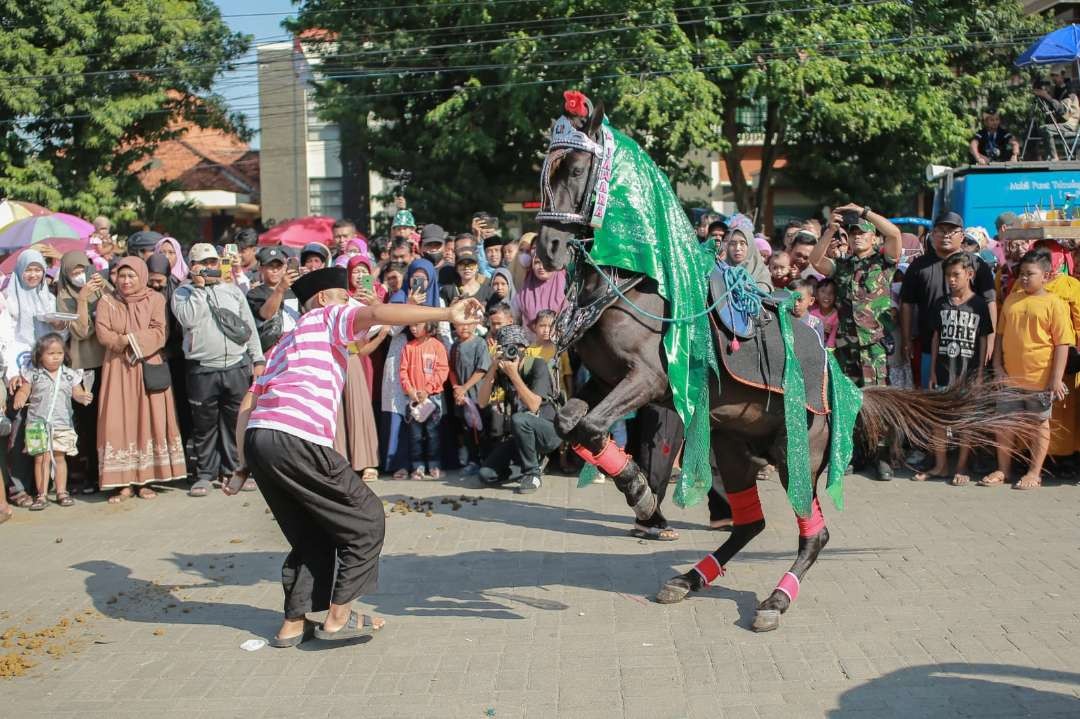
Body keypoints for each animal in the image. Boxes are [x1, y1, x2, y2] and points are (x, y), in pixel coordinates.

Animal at [535, 93, 1041, 626]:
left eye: (576, 168)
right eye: (548, 170)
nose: (548, 248)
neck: (638, 283)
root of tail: (846, 384)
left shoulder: (650, 378)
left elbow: (591, 427)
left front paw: (640, 492)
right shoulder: (604, 379)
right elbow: (570, 422)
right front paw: (640, 495)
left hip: (798, 451)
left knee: (814, 532)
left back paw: (776, 599)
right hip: (733, 446)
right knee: (749, 524)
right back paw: (689, 578)